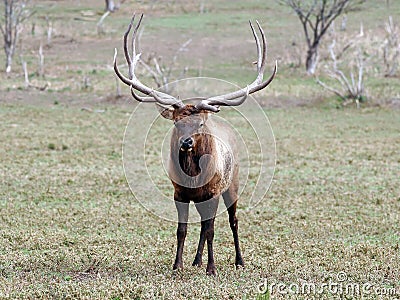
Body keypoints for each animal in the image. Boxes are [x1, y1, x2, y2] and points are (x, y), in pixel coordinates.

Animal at [112, 14, 276, 276]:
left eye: (199, 123)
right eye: (177, 122)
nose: (186, 141)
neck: (192, 176)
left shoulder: (213, 191)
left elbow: (211, 230)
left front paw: (212, 268)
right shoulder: (179, 193)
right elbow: (183, 229)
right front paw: (177, 265)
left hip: (233, 184)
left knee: (233, 221)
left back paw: (238, 260)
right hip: (200, 198)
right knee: (202, 223)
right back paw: (196, 260)